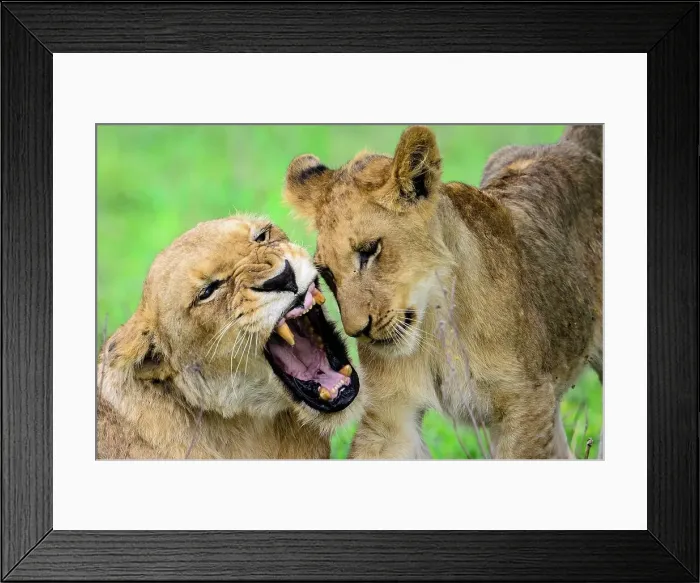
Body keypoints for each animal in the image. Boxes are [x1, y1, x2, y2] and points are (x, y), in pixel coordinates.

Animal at [284, 125, 602, 459]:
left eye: (369, 250)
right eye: (327, 273)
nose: (357, 331)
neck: (438, 321)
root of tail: (569, 146)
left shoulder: (525, 403)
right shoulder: (389, 416)